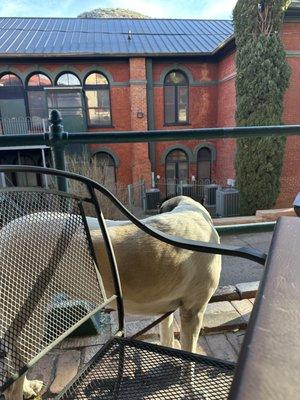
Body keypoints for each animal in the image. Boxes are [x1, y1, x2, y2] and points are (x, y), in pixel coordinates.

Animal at [2, 195, 221, 398]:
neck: (192, 210)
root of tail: (5, 232)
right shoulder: (193, 312)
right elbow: (190, 358)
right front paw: (191, 389)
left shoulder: (170, 310)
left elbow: (168, 337)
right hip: (29, 323)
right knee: (12, 385)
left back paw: (28, 387)